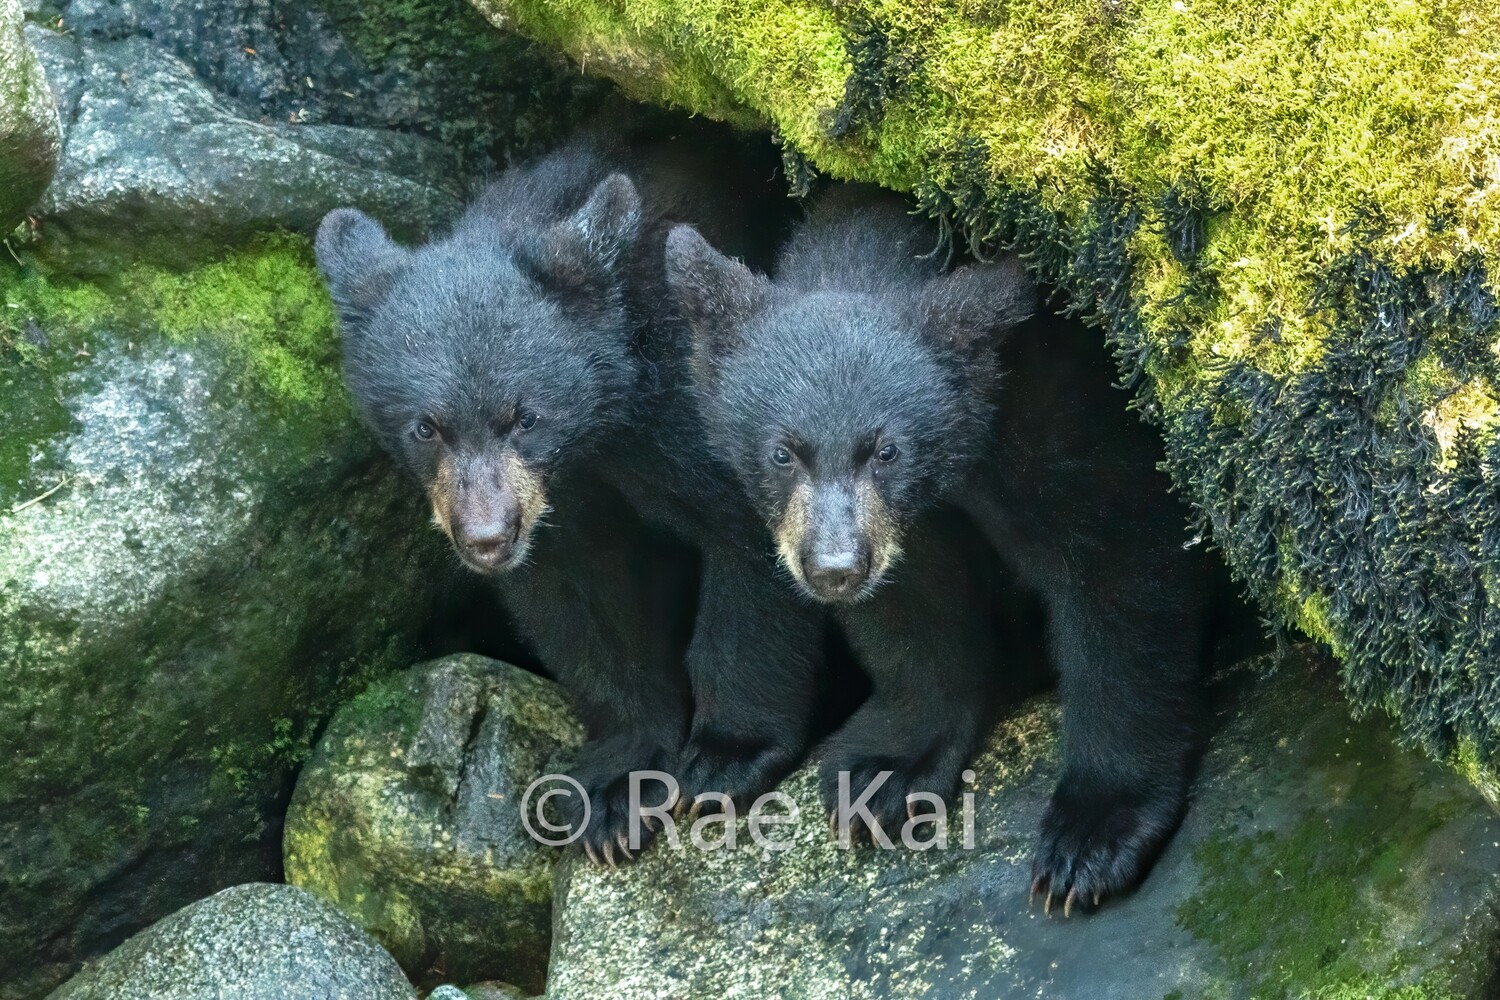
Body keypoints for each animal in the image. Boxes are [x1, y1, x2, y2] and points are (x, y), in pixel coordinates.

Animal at [316, 120, 826, 864]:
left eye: (525, 416)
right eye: (426, 426)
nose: (487, 538)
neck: (603, 430)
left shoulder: (710, 419)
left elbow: (752, 558)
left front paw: (725, 757)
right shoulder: (561, 517)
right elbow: (580, 608)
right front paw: (617, 785)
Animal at [663, 183, 1218, 911]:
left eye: (887, 450)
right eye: (783, 453)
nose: (834, 568)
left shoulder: (1062, 422)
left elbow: (1120, 569)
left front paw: (1092, 832)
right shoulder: (909, 532)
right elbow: (916, 610)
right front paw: (886, 773)